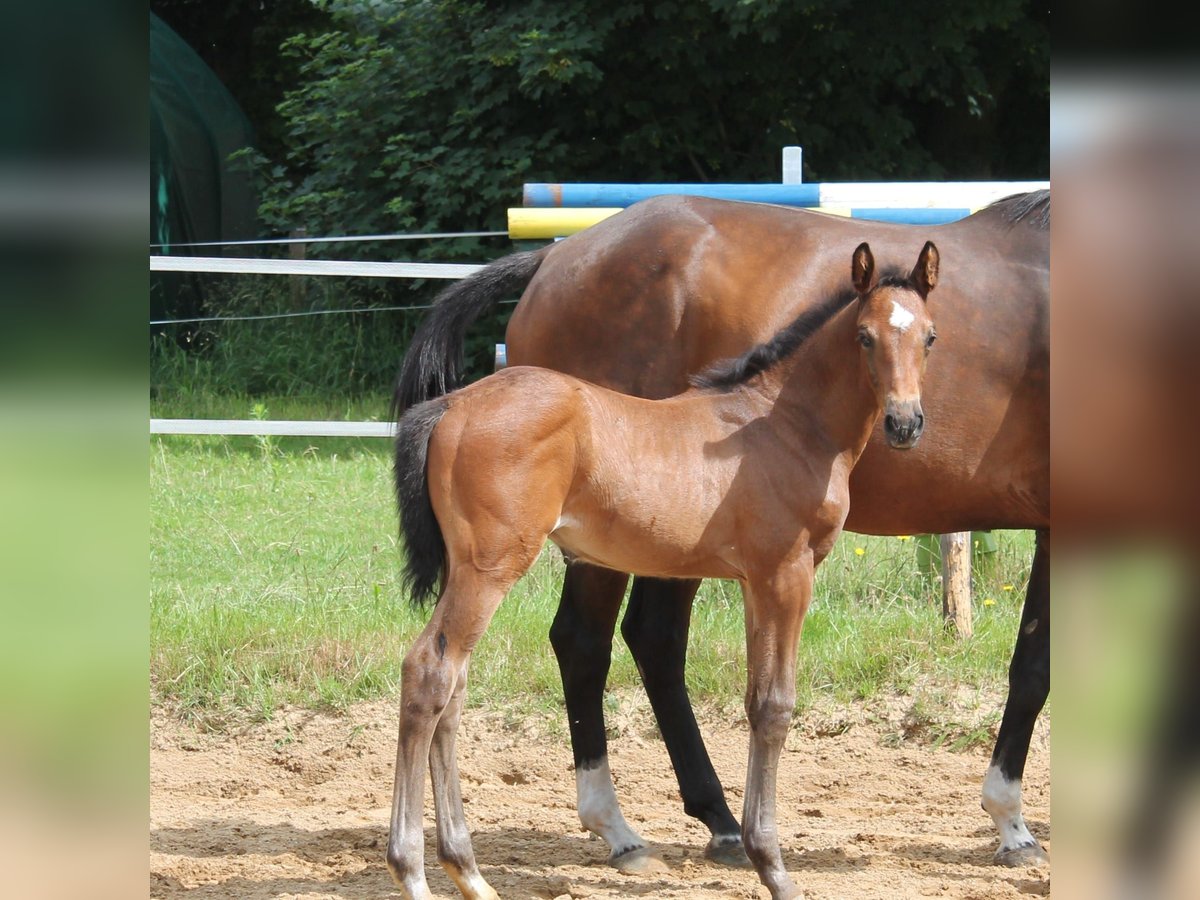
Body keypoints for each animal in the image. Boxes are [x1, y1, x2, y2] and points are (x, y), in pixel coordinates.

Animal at [396, 192, 1051, 873]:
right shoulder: (787, 572)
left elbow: (760, 696)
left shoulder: (757, 576)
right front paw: (1012, 826)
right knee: (516, 656)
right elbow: (779, 703)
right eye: (864, 337)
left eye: (931, 336)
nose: (906, 423)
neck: (779, 419)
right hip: (521, 561)